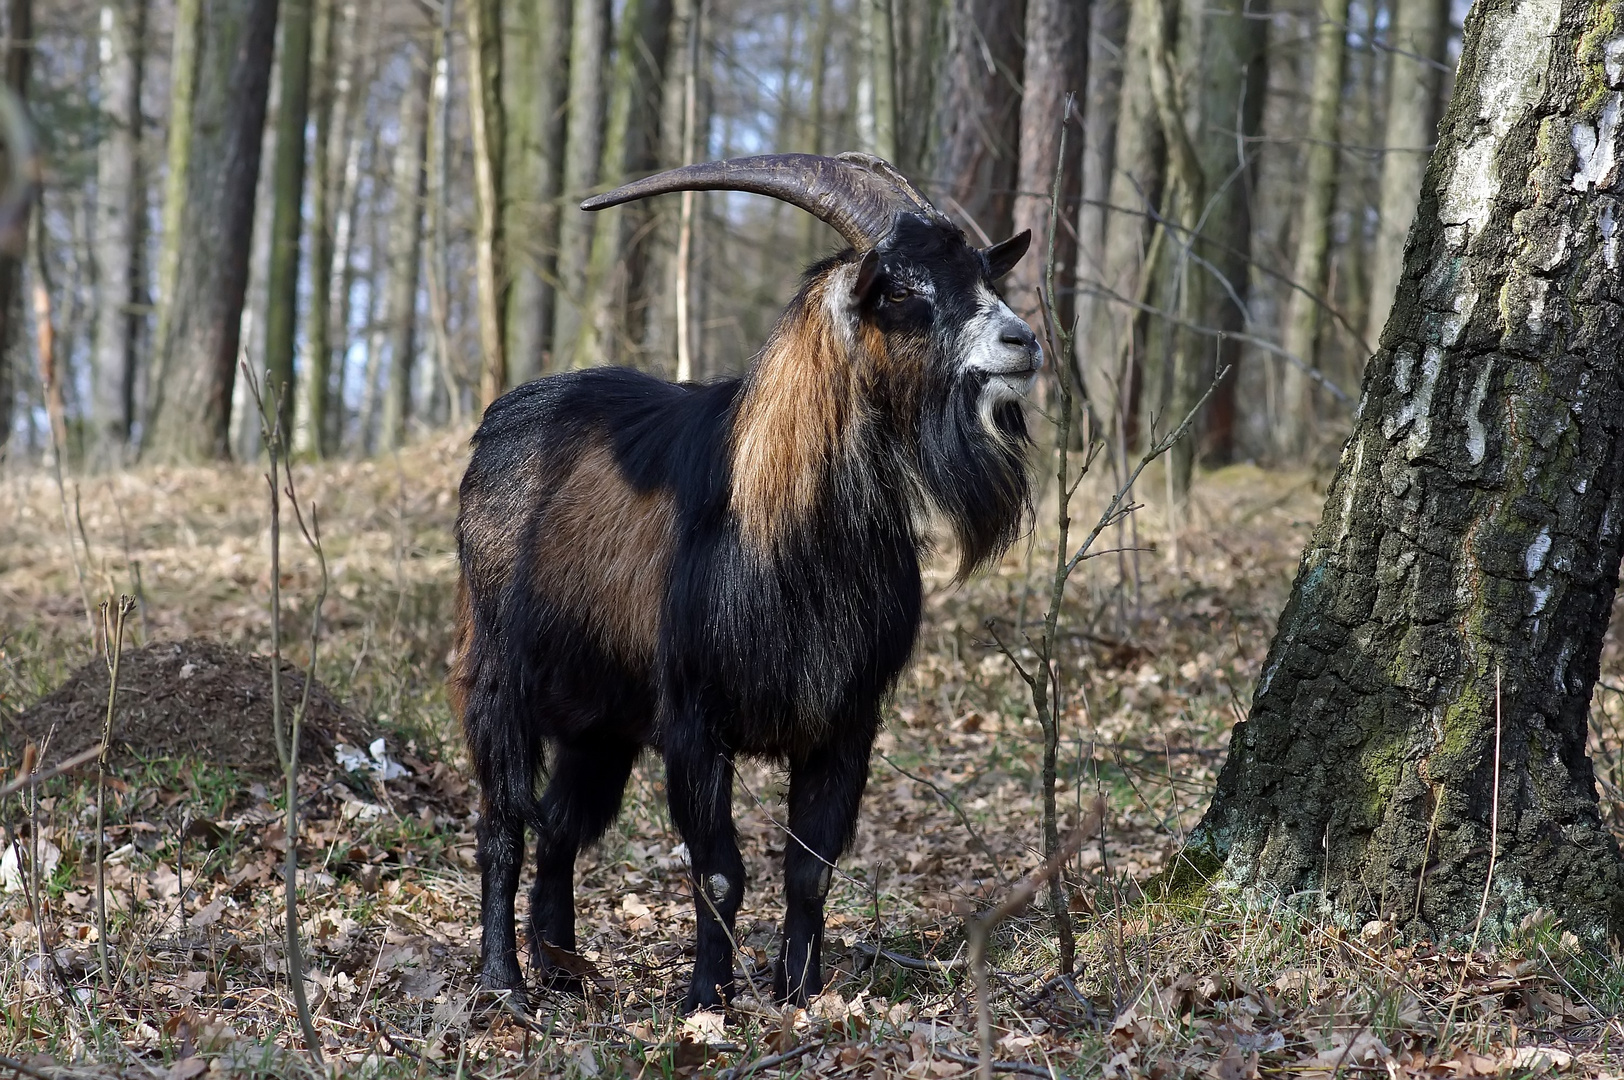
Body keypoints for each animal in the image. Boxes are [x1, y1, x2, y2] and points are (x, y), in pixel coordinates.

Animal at [454, 151, 1039, 1013]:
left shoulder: (846, 723)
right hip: (499, 674)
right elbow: (720, 871)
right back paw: (505, 984)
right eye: (901, 289)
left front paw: (800, 991)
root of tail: (500, 422)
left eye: (978, 271)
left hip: (603, 722)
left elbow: (810, 871)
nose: (1021, 340)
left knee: (562, 824)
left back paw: (561, 966)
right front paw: (707, 996)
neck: (783, 525)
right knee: (503, 822)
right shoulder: (696, 723)